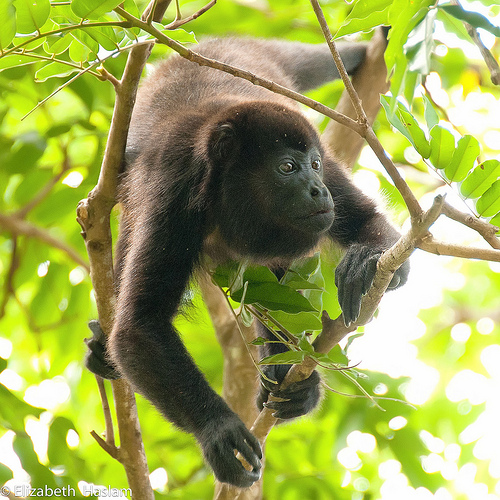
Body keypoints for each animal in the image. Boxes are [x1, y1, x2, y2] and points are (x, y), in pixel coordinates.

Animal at [85, 37, 410, 486]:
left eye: (314, 164)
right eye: (287, 167)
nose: (318, 189)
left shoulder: (326, 163)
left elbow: (370, 226)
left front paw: (369, 258)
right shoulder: (173, 188)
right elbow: (139, 327)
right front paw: (219, 430)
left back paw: (292, 382)